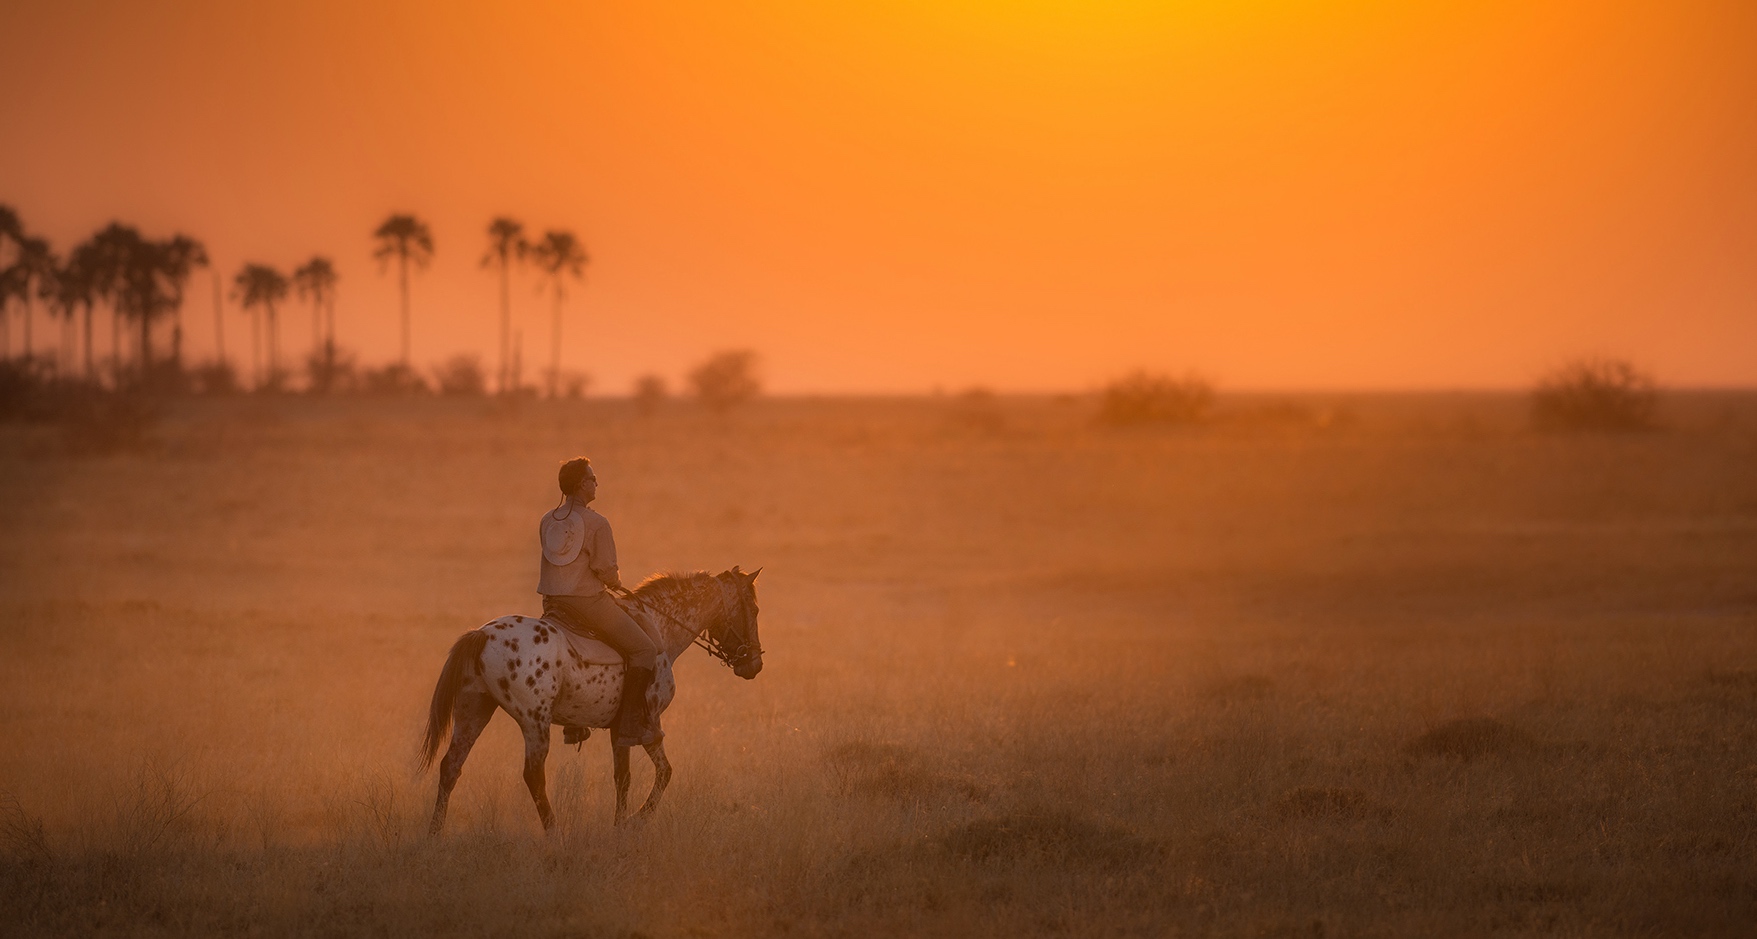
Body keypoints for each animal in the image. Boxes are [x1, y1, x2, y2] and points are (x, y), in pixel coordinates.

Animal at [421, 569, 766, 837]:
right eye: (753, 609)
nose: (754, 664)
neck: (658, 627)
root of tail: (482, 635)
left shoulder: (620, 729)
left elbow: (622, 778)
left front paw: (619, 826)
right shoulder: (649, 723)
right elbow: (664, 773)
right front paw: (635, 821)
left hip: (474, 710)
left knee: (451, 766)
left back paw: (434, 835)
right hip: (534, 721)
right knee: (533, 776)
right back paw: (555, 834)